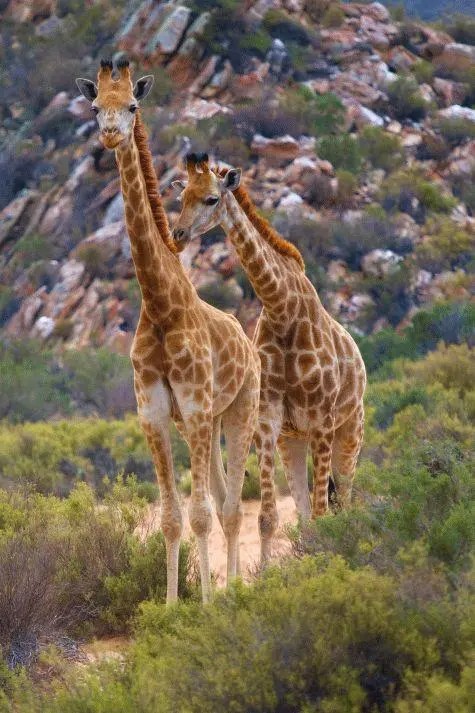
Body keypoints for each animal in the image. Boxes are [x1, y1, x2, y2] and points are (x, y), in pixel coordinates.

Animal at [75, 62, 260, 603]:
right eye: (95, 105)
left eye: (132, 105)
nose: (110, 133)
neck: (160, 305)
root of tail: (247, 341)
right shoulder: (155, 414)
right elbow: (171, 518)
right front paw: (172, 605)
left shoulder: (195, 406)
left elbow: (199, 515)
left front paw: (205, 607)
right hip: (206, 422)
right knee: (223, 498)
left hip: (240, 409)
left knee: (231, 506)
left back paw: (234, 593)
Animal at [172, 154, 366, 563]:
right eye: (181, 196)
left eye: (212, 199)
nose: (178, 234)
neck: (282, 307)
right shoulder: (268, 417)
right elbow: (268, 518)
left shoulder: (322, 419)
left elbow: (323, 513)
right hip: (293, 440)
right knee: (307, 513)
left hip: (349, 432)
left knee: (345, 502)